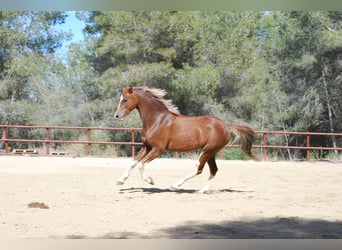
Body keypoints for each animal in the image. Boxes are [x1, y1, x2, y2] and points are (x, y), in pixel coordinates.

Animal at [115, 86, 256, 193]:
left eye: (125, 100)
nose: (117, 116)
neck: (156, 120)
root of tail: (226, 125)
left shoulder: (158, 149)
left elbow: (141, 164)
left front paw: (150, 181)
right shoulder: (146, 147)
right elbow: (134, 162)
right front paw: (120, 181)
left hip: (207, 151)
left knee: (198, 169)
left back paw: (175, 185)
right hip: (211, 152)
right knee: (213, 170)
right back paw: (202, 190)